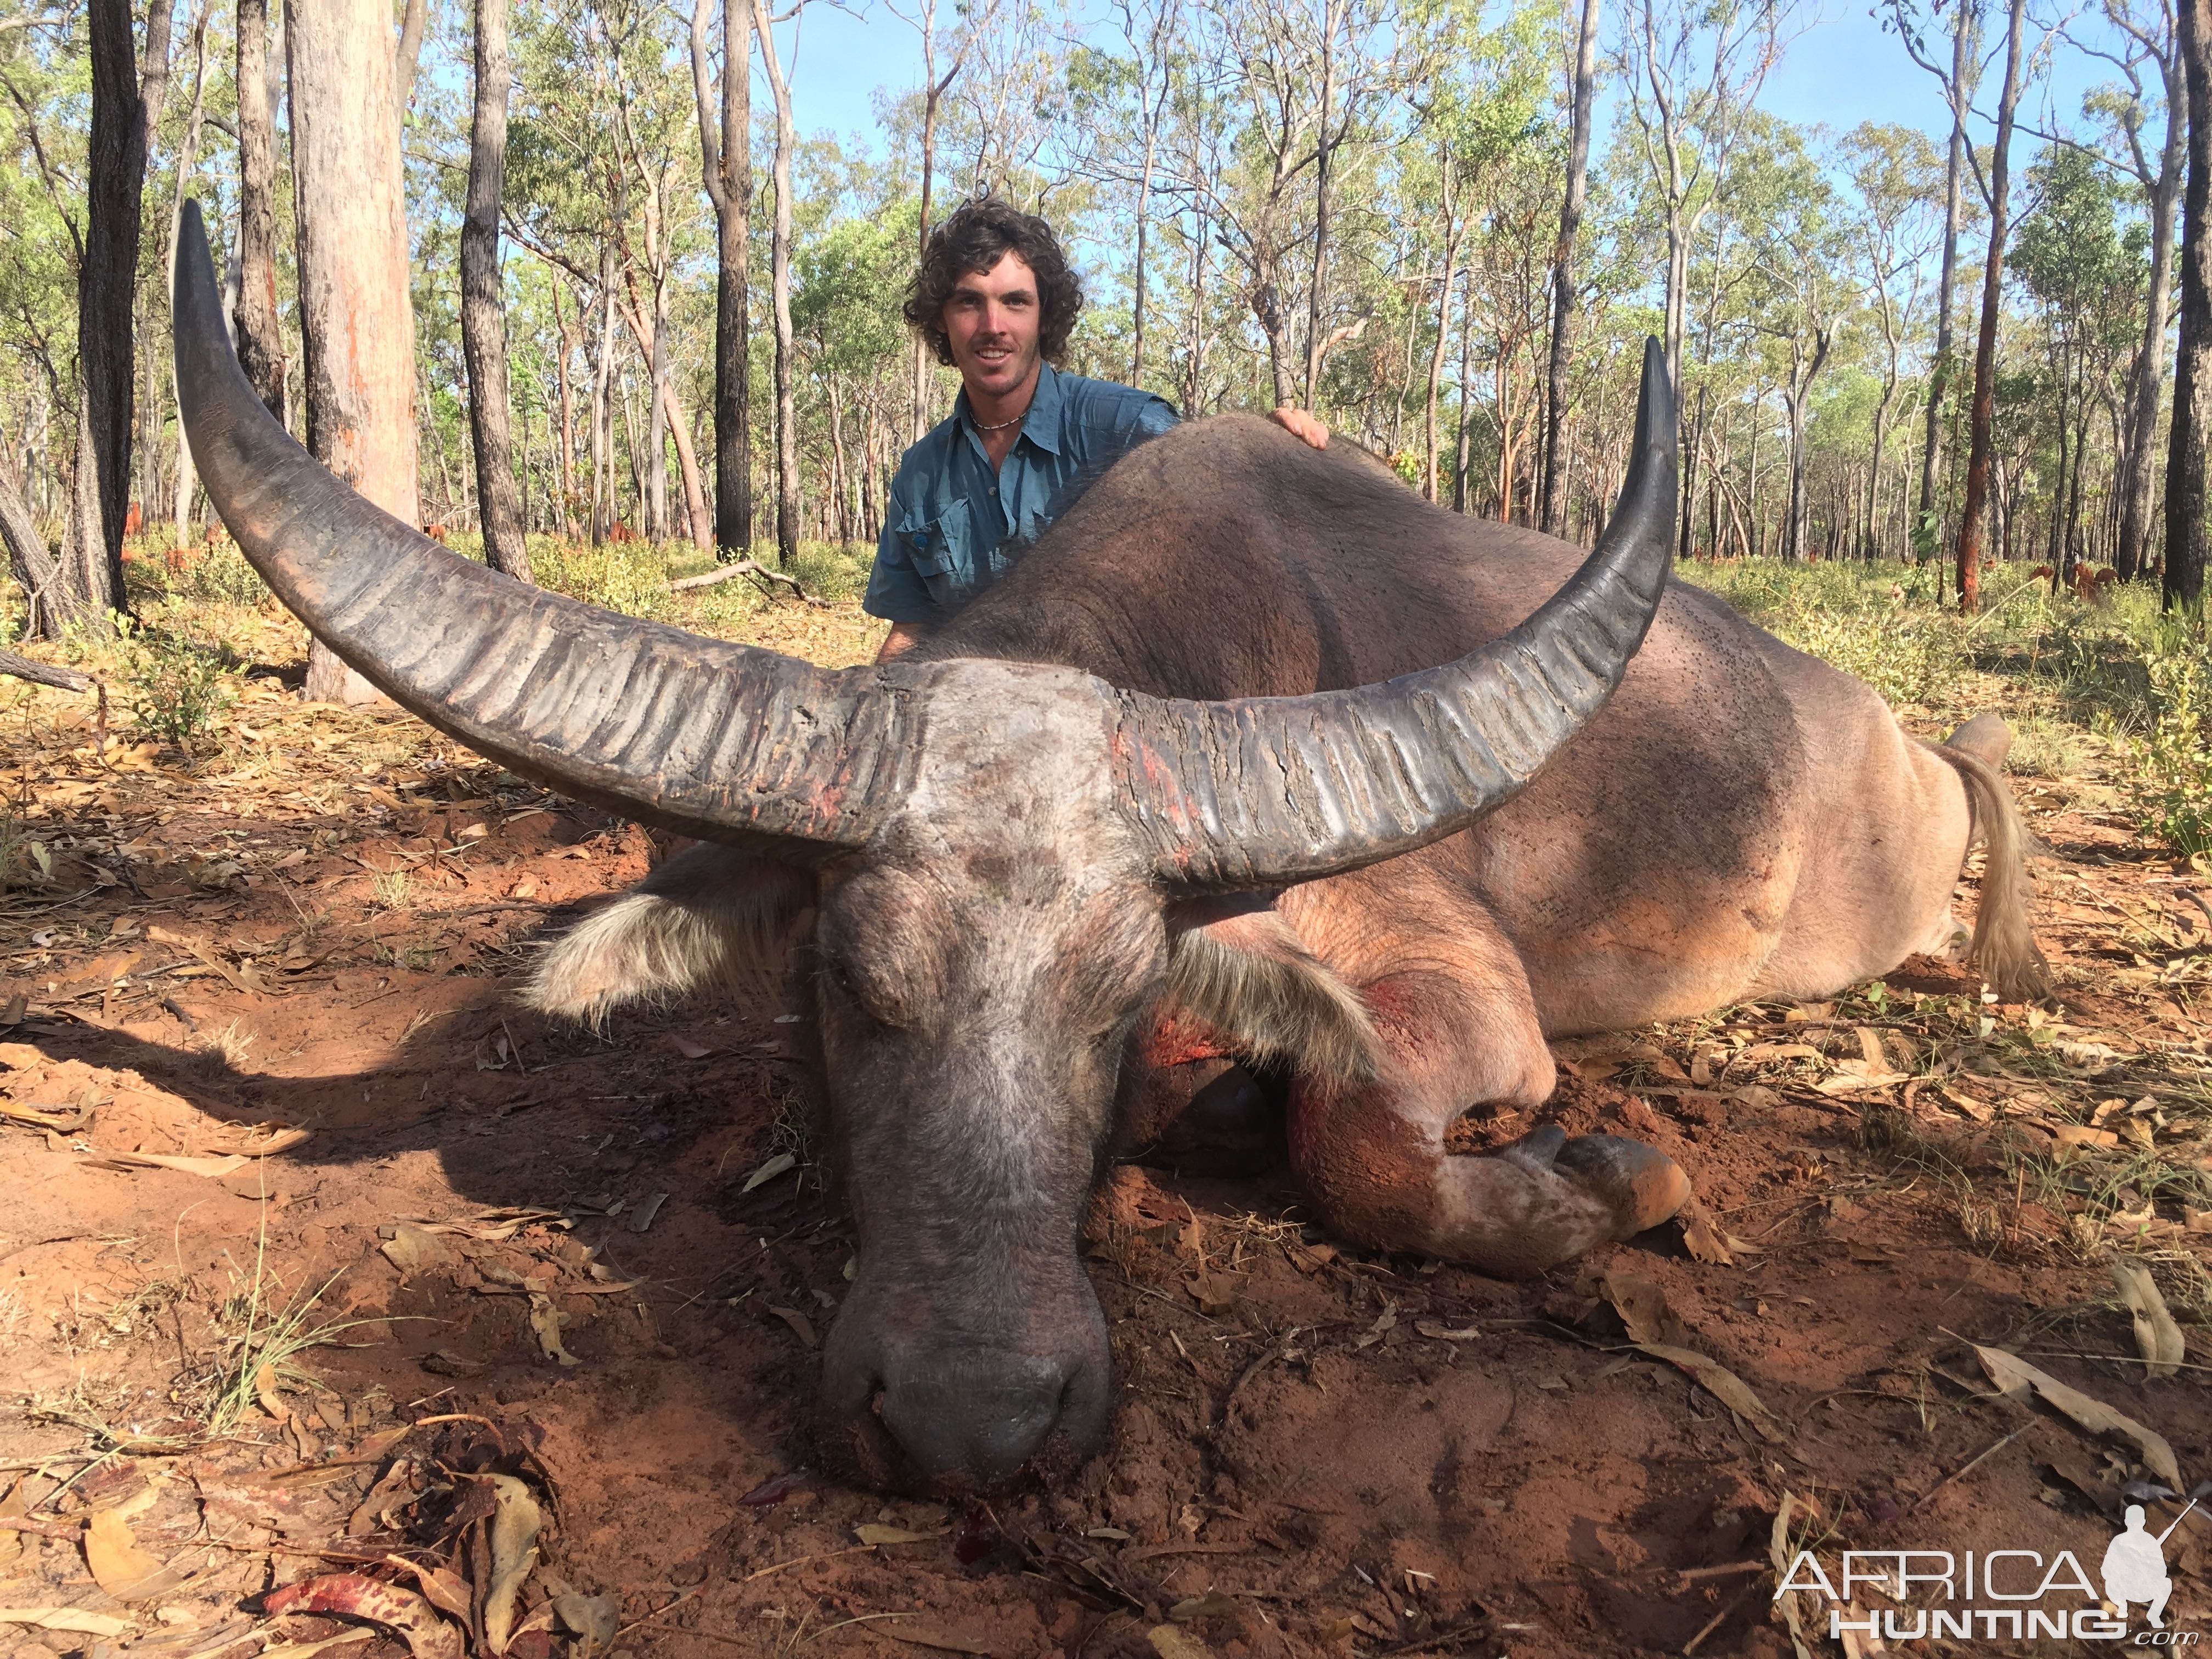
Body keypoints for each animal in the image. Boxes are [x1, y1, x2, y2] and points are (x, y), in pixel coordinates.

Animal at [168, 201, 2035, 1504]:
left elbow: (1364, 1142)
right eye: (848, 985)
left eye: (1120, 993)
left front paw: (1614, 1172)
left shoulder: (1459, 989)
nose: (972, 1421)